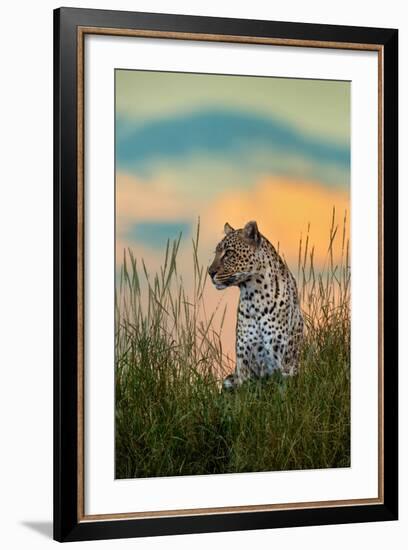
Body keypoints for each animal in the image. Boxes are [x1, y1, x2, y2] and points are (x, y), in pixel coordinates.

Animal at [210, 221, 302, 392]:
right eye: (216, 252)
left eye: (229, 253)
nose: (210, 272)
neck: (254, 298)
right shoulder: (244, 363)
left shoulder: (282, 364)